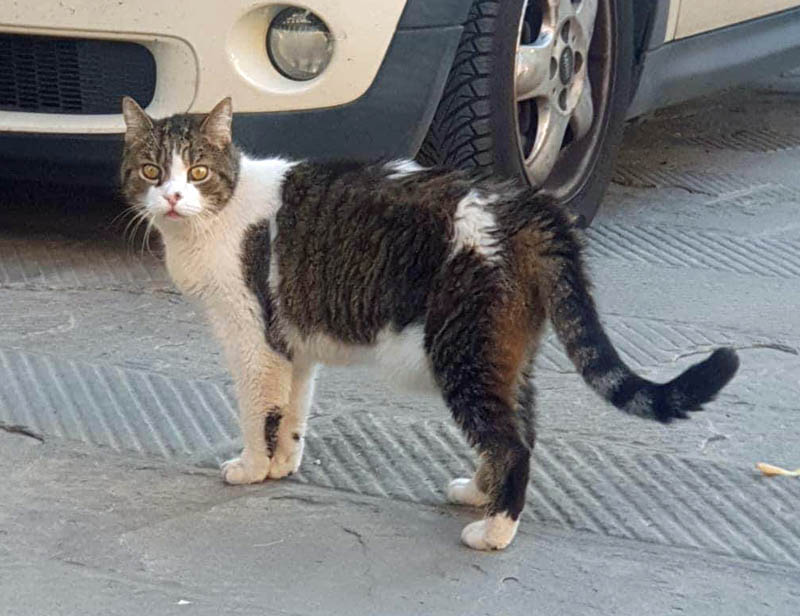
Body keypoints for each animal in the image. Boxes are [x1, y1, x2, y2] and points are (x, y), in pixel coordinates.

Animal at [122, 97, 740, 552]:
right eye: (151, 170)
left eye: (198, 171)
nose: (172, 197)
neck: (213, 218)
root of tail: (523, 205)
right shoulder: (292, 345)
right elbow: (291, 412)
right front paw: (281, 466)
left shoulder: (254, 340)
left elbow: (258, 412)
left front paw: (251, 467)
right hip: (502, 352)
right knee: (521, 428)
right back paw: (479, 493)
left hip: (461, 351)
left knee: (513, 443)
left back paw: (494, 531)